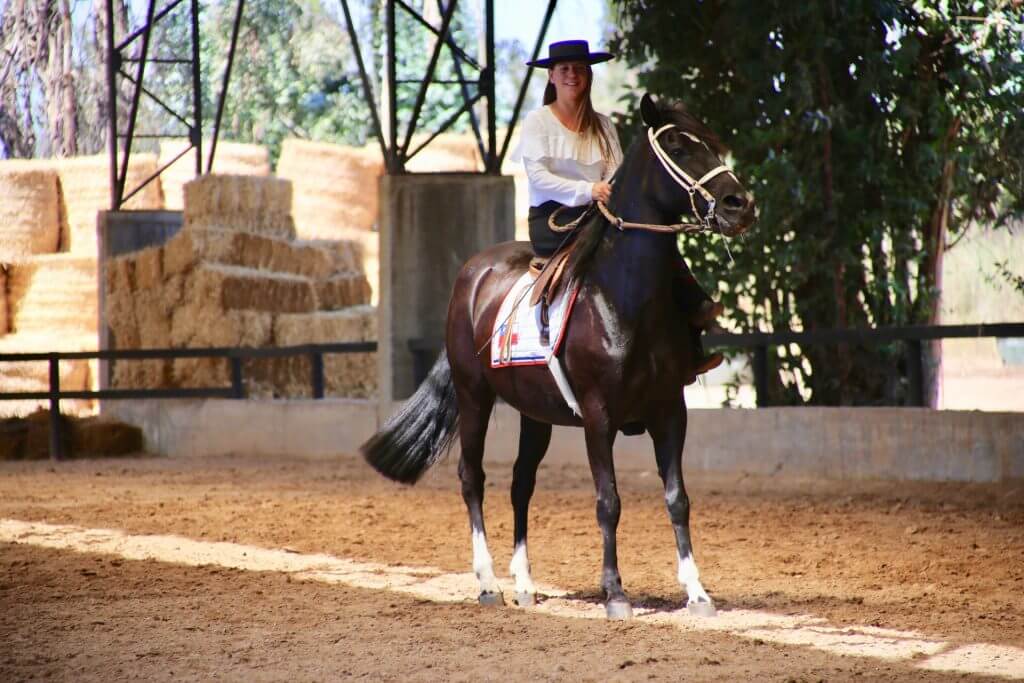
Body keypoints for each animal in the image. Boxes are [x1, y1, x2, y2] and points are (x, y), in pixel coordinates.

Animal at [360, 93, 753, 622]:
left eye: (709, 142)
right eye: (677, 145)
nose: (739, 204)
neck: (623, 299)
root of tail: (471, 274)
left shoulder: (671, 410)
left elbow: (678, 498)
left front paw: (697, 593)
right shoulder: (598, 417)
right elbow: (608, 501)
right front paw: (615, 594)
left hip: (536, 415)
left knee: (520, 484)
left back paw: (525, 585)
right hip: (473, 397)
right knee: (472, 478)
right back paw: (488, 584)